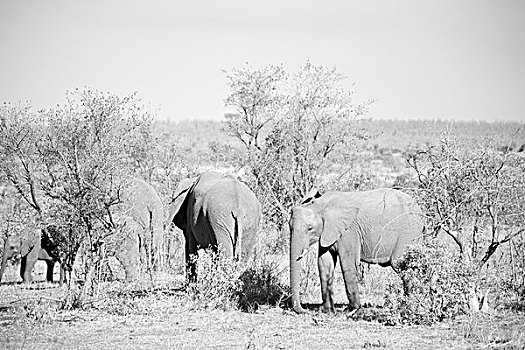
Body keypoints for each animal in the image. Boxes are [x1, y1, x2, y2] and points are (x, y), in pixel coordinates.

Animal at [288, 189, 424, 314]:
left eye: (310, 228)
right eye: (289, 227)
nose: (305, 310)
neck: (321, 204)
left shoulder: (349, 231)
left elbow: (347, 263)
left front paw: (350, 310)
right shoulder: (327, 232)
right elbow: (324, 263)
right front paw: (328, 311)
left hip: (408, 233)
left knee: (401, 265)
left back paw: (410, 304)